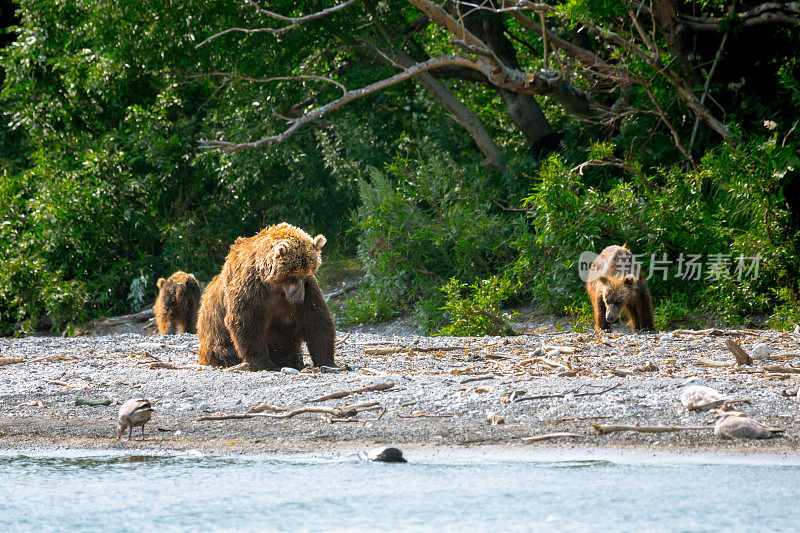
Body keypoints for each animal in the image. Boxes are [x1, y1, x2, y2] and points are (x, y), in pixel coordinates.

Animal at [202, 221, 340, 370]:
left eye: (306, 275)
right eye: (293, 276)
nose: (298, 300)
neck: (275, 287)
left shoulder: (308, 290)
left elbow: (316, 318)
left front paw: (327, 361)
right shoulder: (250, 287)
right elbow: (247, 322)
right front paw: (264, 363)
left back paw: (295, 358)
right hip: (215, 339)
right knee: (225, 352)